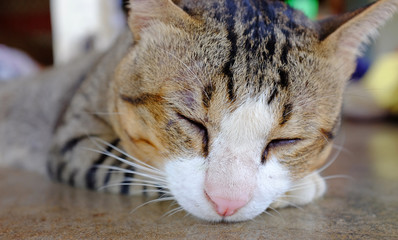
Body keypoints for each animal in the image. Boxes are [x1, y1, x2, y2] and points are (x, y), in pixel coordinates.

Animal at [2, 0, 398, 222]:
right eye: (190, 122)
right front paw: (301, 187)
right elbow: (135, 169)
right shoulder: (73, 141)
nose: (226, 203)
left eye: (287, 141)